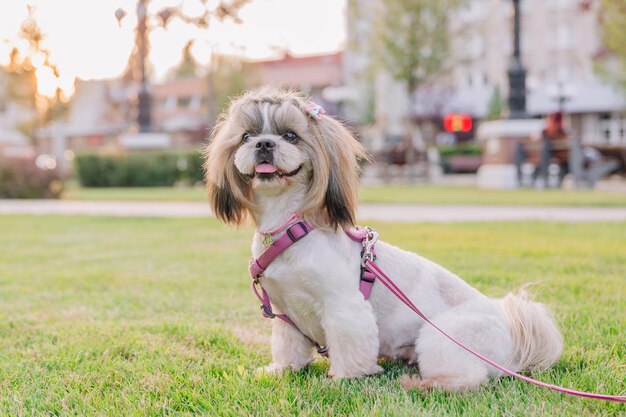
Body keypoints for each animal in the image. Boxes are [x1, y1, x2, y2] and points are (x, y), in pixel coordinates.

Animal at [204, 86, 560, 392]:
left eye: (290, 135)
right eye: (246, 136)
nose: (264, 144)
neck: (290, 226)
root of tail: (512, 336)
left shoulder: (345, 307)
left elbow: (350, 345)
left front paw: (343, 378)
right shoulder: (286, 315)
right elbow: (287, 348)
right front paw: (282, 370)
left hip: (443, 337)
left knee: (469, 379)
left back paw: (422, 383)